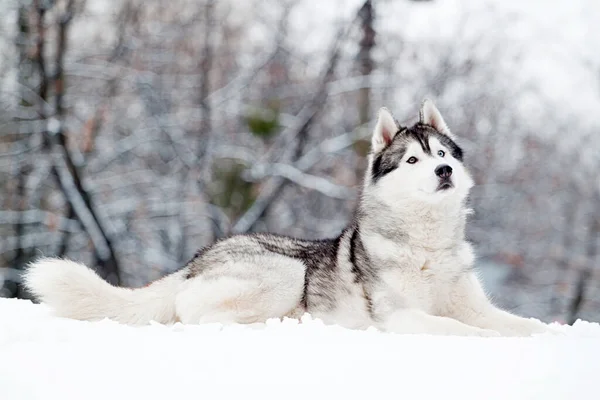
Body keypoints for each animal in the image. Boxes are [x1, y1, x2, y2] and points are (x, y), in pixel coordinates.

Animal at [25, 101, 556, 338]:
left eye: (443, 154)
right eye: (412, 160)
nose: (444, 170)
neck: (426, 244)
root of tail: (194, 261)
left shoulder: (472, 305)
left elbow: (518, 323)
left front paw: (550, 336)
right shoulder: (402, 317)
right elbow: (468, 331)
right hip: (285, 271)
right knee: (201, 318)